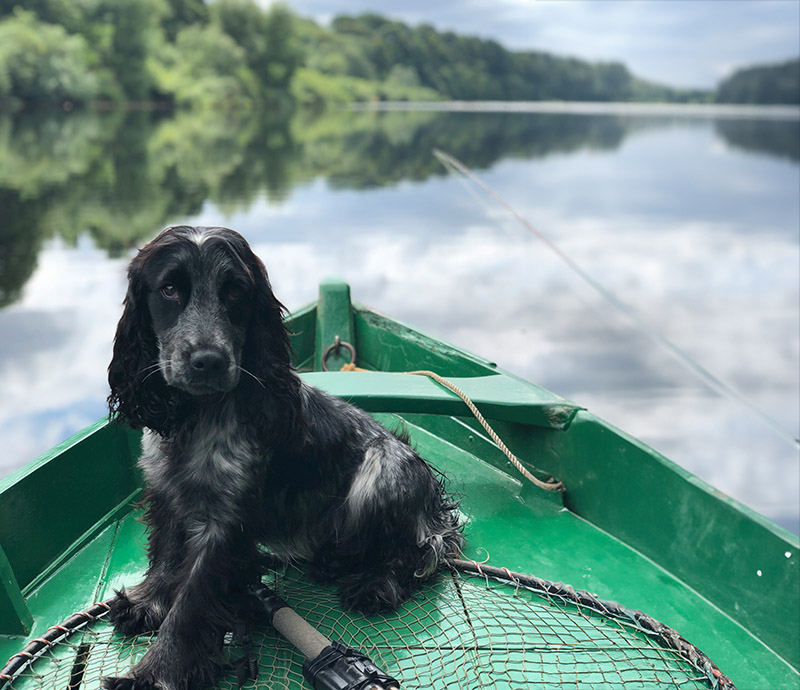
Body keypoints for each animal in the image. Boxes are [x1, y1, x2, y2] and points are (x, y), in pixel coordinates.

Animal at [103, 226, 462, 688]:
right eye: (169, 289)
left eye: (236, 291)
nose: (208, 361)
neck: (196, 417)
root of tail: (436, 502)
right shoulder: (166, 492)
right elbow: (165, 556)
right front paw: (146, 604)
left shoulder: (225, 527)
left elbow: (190, 607)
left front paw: (153, 675)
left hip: (379, 475)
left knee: (423, 551)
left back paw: (375, 584)